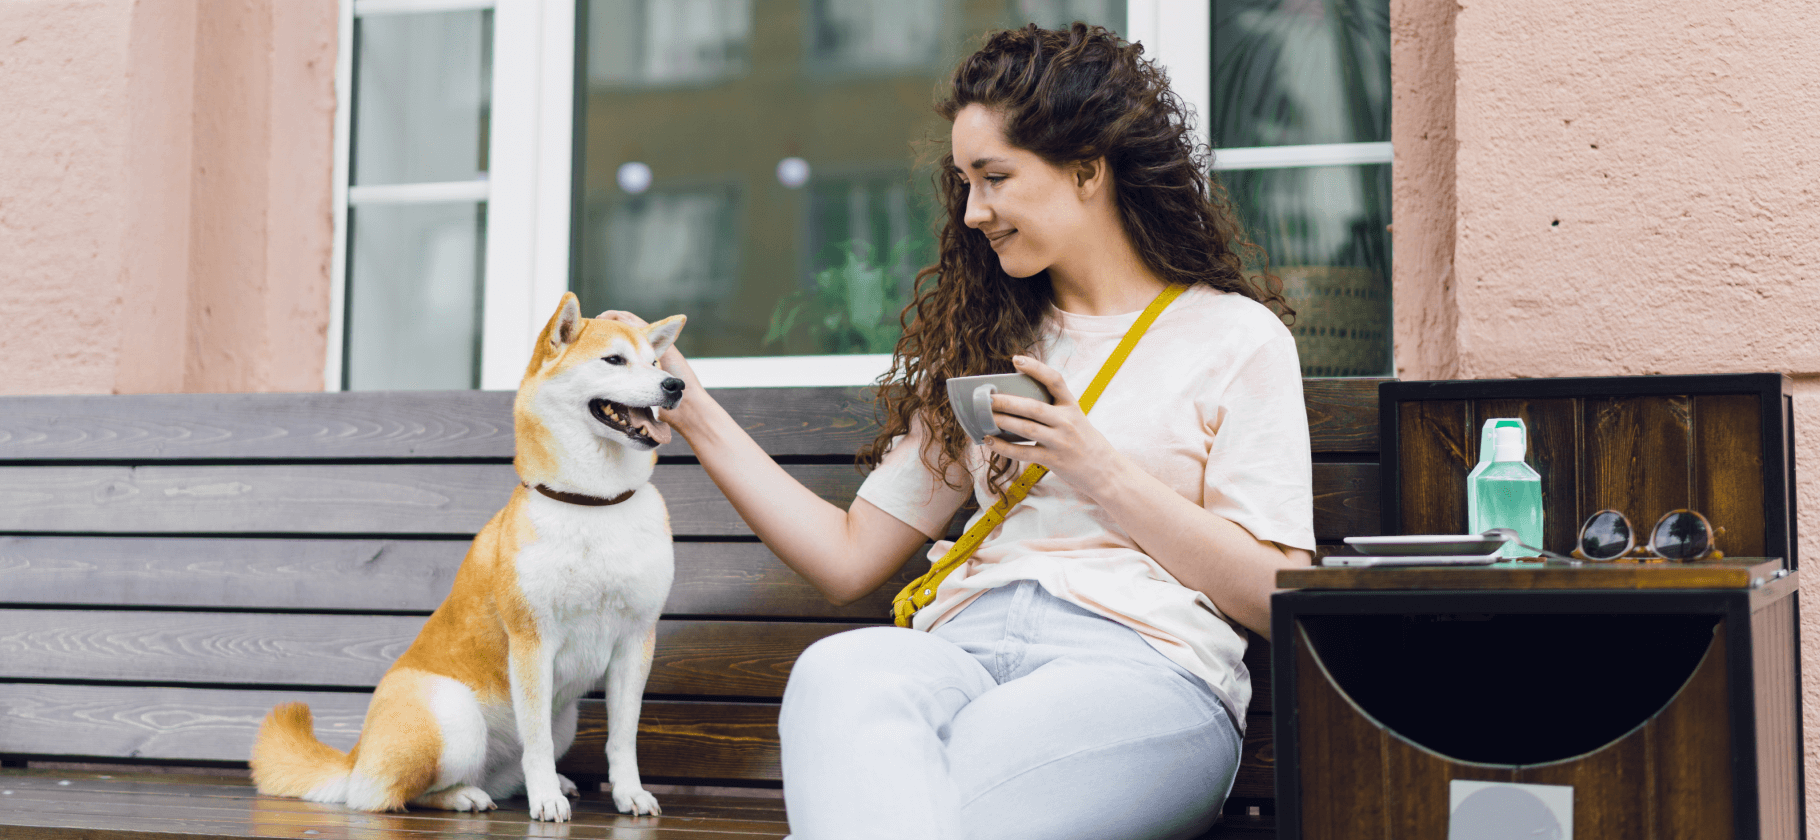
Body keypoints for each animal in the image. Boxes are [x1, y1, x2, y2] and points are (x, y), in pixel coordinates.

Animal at [252, 294, 684, 821]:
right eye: (614, 360)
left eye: (656, 363)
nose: (676, 385)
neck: (593, 503)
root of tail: (355, 755)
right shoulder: (532, 642)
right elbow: (536, 741)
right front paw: (546, 799)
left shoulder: (635, 642)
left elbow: (623, 738)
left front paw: (628, 792)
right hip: (453, 717)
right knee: (386, 794)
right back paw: (464, 795)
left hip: (564, 720)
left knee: (498, 773)